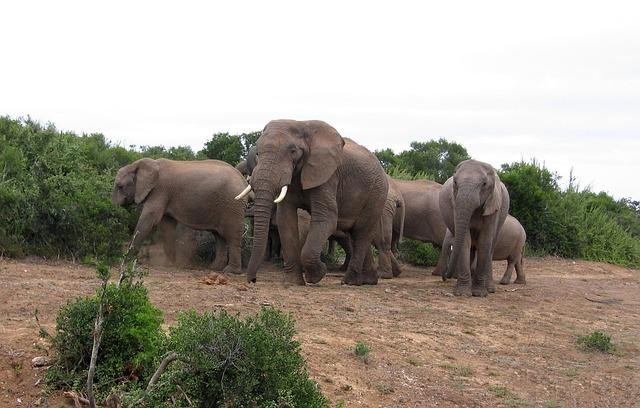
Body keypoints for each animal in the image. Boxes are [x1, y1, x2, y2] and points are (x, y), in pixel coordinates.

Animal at [112, 159, 248, 274]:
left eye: (120, 186)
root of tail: (242, 179)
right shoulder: (165, 194)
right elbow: (167, 225)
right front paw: (171, 263)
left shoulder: (159, 191)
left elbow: (150, 219)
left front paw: (126, 260)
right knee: (219, 236)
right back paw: (215, 268)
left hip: (232, 205)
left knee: (232, 236)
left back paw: (230, 271)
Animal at [234, 119, 388, 286]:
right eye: (258, 152)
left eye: (293, 151)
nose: (253, 280)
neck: (303, 126)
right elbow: (285, 219)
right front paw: (293, 282)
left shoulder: (328, 175)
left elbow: (326, 219)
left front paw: (316, 274)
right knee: (354, 233)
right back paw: (369, 280)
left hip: (377, 194)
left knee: (361, 233)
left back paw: (350, 281)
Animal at [438, 159, 508, 296]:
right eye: (455, 182)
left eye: (484, 184)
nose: (445, 276)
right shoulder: (456, 204)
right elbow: (465, 240)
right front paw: (463, 293)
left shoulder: (493, 205)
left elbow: (485, 241)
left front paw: (479, 294)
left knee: (491, 247)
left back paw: (490, 289)